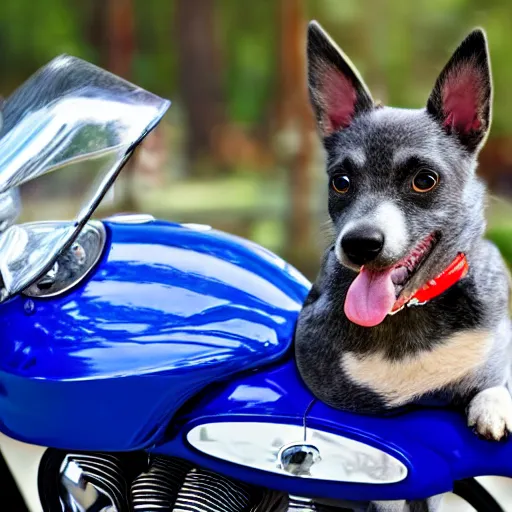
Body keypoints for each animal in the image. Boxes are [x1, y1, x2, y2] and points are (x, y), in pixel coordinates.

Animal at [294, 20, 512, 512]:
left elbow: (494, 380)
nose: (359, 244)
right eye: (341, 181)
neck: (409, 312)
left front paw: (492, 405)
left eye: (424, 180)